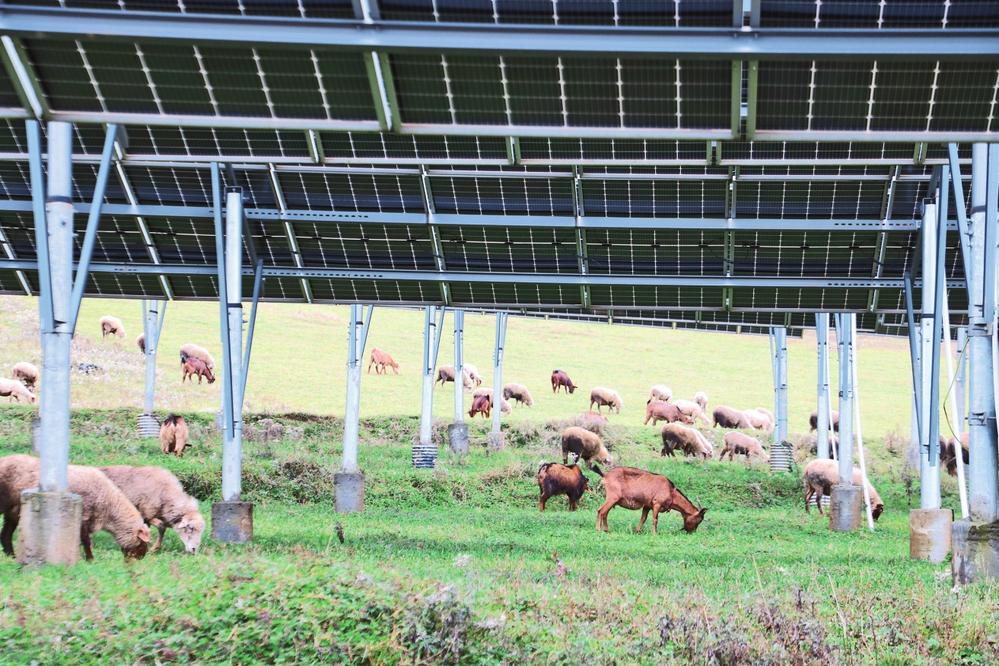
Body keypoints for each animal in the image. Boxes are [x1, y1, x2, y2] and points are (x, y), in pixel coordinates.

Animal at [0, 454, 150, 560]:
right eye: (141, 542)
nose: (141, 559)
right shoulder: (83, 515)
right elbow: (85, 541)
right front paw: (90, 559)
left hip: (13, 511)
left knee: (6, 534)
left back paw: (11, 556)